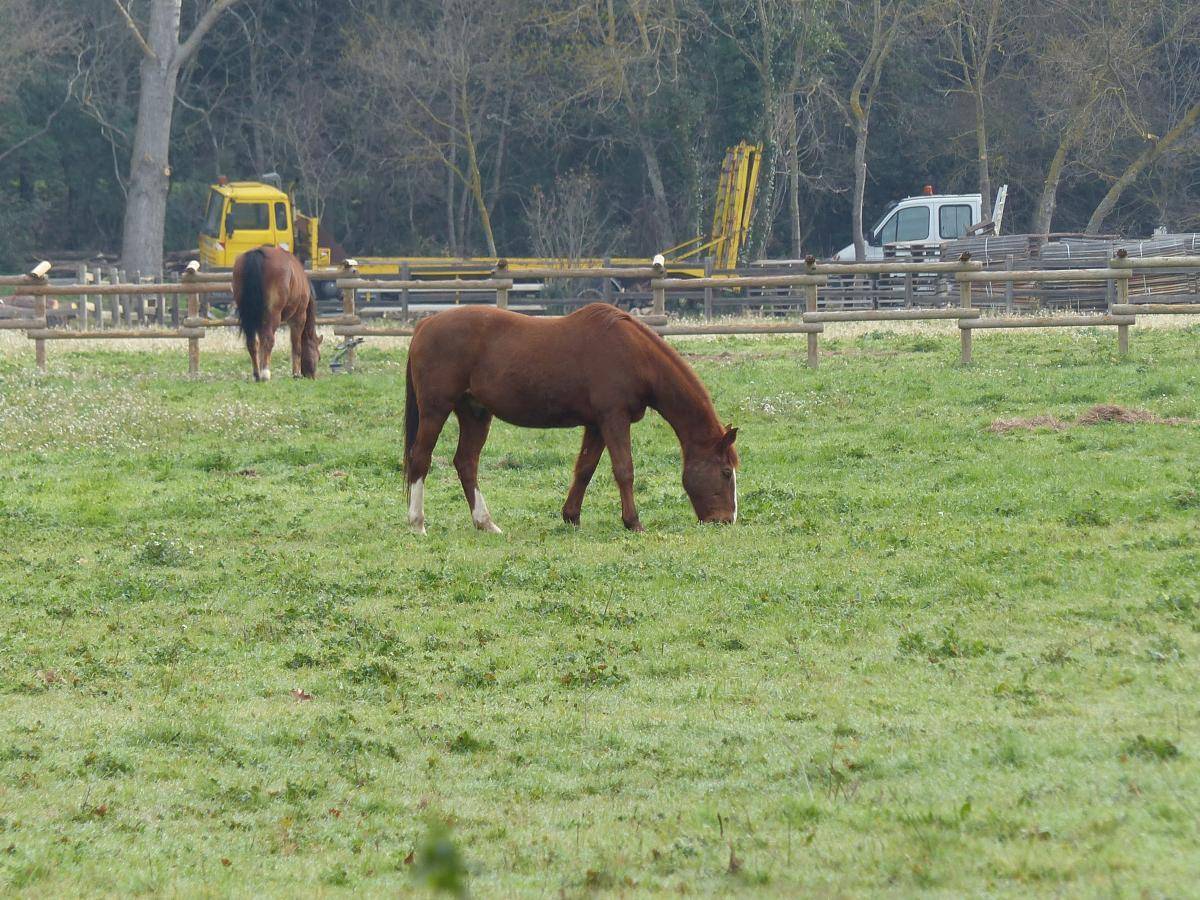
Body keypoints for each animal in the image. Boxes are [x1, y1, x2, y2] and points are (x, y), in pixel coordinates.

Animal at [230, 247, 321, 384]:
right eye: (319, 357)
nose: (312, 377)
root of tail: (257, 253)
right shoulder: (298, 318)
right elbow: (296, 346)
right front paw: (296, 374)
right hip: (273, 315)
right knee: (269, 340)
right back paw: (265, 374)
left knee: (252, 343)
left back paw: (257, 374)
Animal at [408, 303, 734, 535]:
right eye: (726, 472)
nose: (726, 519)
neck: (635, 355)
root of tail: (425, 324)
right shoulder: (614, 419)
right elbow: (624, 470)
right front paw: (633, 522)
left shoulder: (597, 424)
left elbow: (585, 470)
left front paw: (571, 517)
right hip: (435, 411)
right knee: (420, 458)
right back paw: (417, 523)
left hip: (475, 413)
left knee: (466, 463)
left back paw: (485, 523)